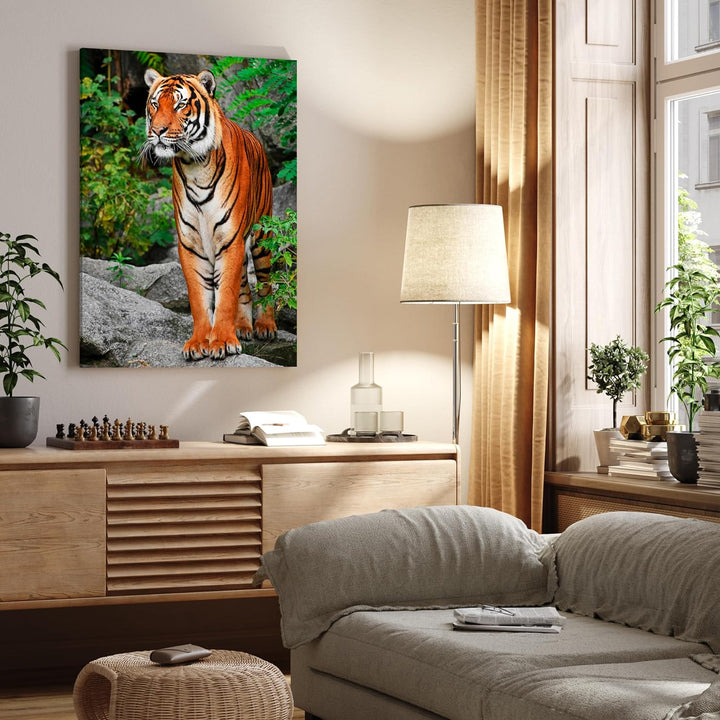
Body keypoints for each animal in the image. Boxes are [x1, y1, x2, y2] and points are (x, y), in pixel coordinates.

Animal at [142, 69, 276, 361]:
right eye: (155, 104)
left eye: (180, 104)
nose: (157, 131)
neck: (195, 166)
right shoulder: (191, 245)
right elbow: (199, 297)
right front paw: (198, 343)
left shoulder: (230, 240)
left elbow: (224, 296)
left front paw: (223, 342)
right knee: (244, 285)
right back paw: (243, 327)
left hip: (261, 238)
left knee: (265, 282)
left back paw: (265, 326)